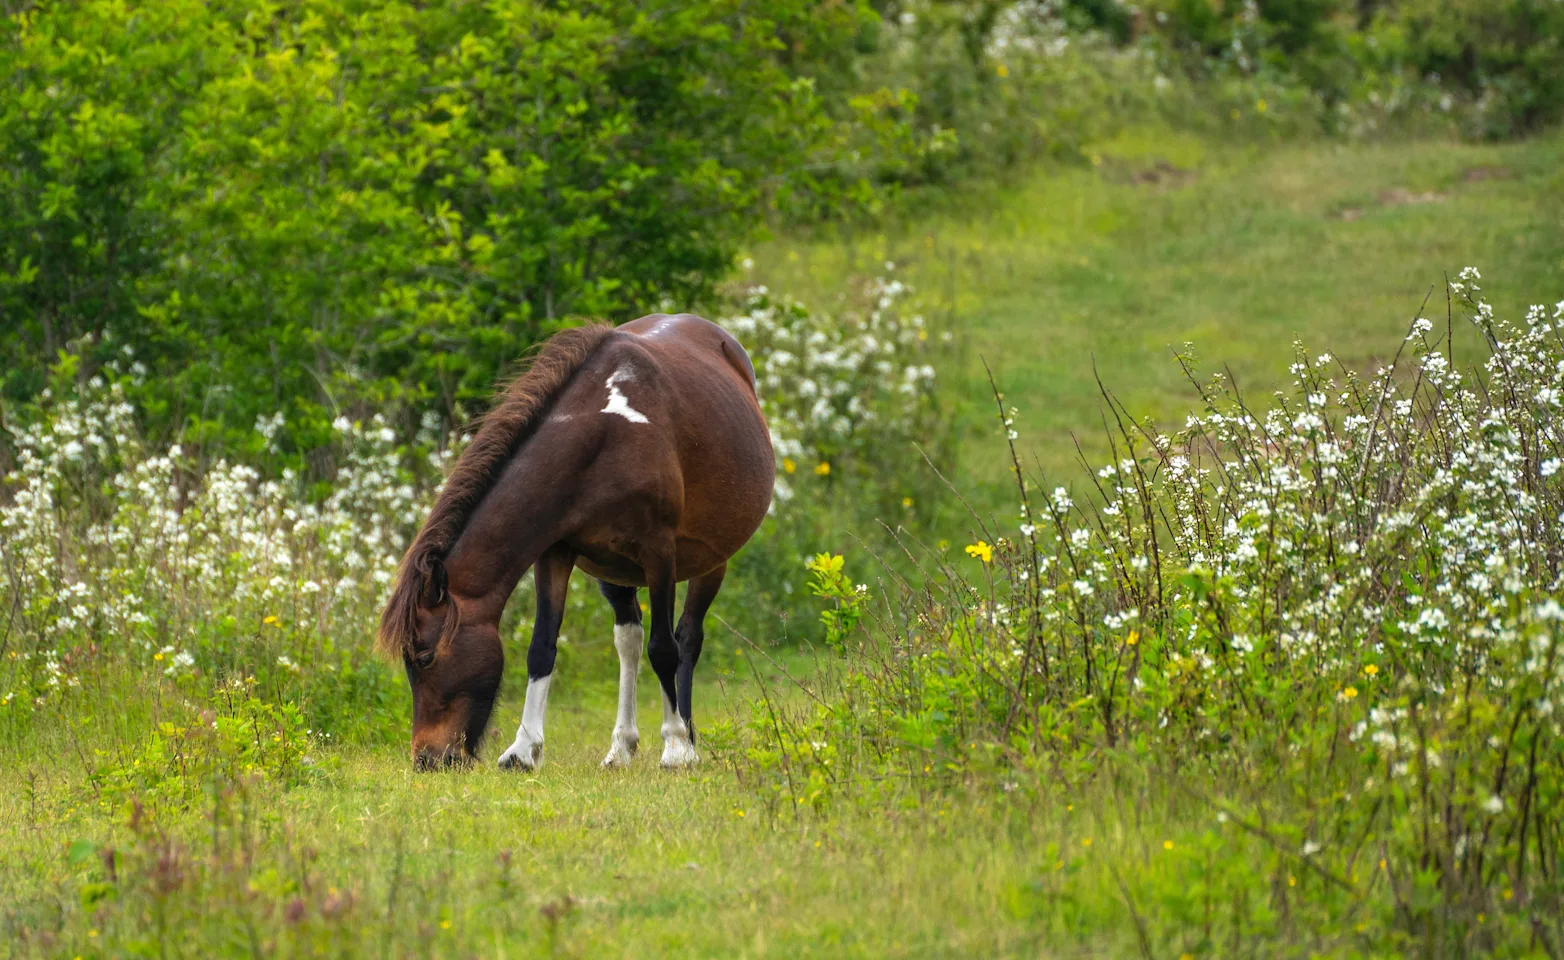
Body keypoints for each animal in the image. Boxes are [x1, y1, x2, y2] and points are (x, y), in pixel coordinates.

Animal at [377, 315, 774, 771]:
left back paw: (686, 740)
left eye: (424, 657)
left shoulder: (660, 554)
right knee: (628, 641)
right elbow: (541, 648)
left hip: (711, 560)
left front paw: (675, 746)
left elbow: (665, 649)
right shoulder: (555, 553)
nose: (427, 758)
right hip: (616, 572)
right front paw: (523, 749)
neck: (604, 434)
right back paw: (621, 747)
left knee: (686, 639)